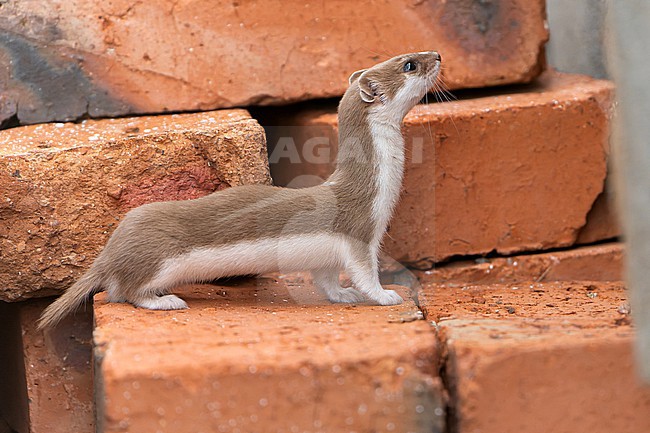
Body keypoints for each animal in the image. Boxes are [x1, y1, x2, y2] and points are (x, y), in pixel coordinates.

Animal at [39, 51, 440, 328]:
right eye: (409, 64)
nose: (437, 55)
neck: (378, 192)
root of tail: (112, 246)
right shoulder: (359, 234)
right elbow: (365, 273)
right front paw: (385, 295)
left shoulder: (326, 255)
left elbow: (327, 280)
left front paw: (344, 294)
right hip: (158, 261)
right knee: (125, 291)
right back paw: (166, 301)